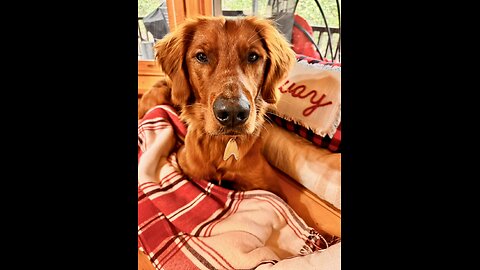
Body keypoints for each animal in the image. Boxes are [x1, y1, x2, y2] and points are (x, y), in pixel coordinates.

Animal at [138, 16, 296, 198]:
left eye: (253, 56)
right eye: (201, 56)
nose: (233, 112)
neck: (222, 143)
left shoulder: (270, 189)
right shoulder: (186, 163)